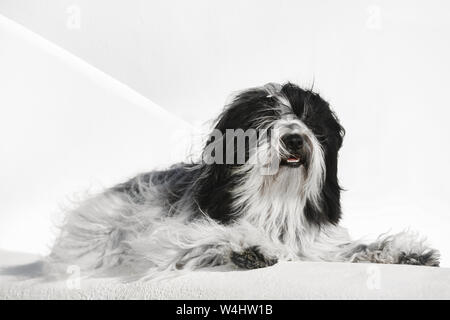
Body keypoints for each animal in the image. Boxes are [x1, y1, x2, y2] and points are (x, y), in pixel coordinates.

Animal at [48, 82, 440, 280]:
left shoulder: (317, 248)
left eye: (310, 122)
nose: (294, 139)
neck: (276, 201)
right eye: (266, 122)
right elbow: (206, 235)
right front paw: (247, 246)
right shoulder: (163, 237)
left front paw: (404, 251)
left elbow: (355, 248)